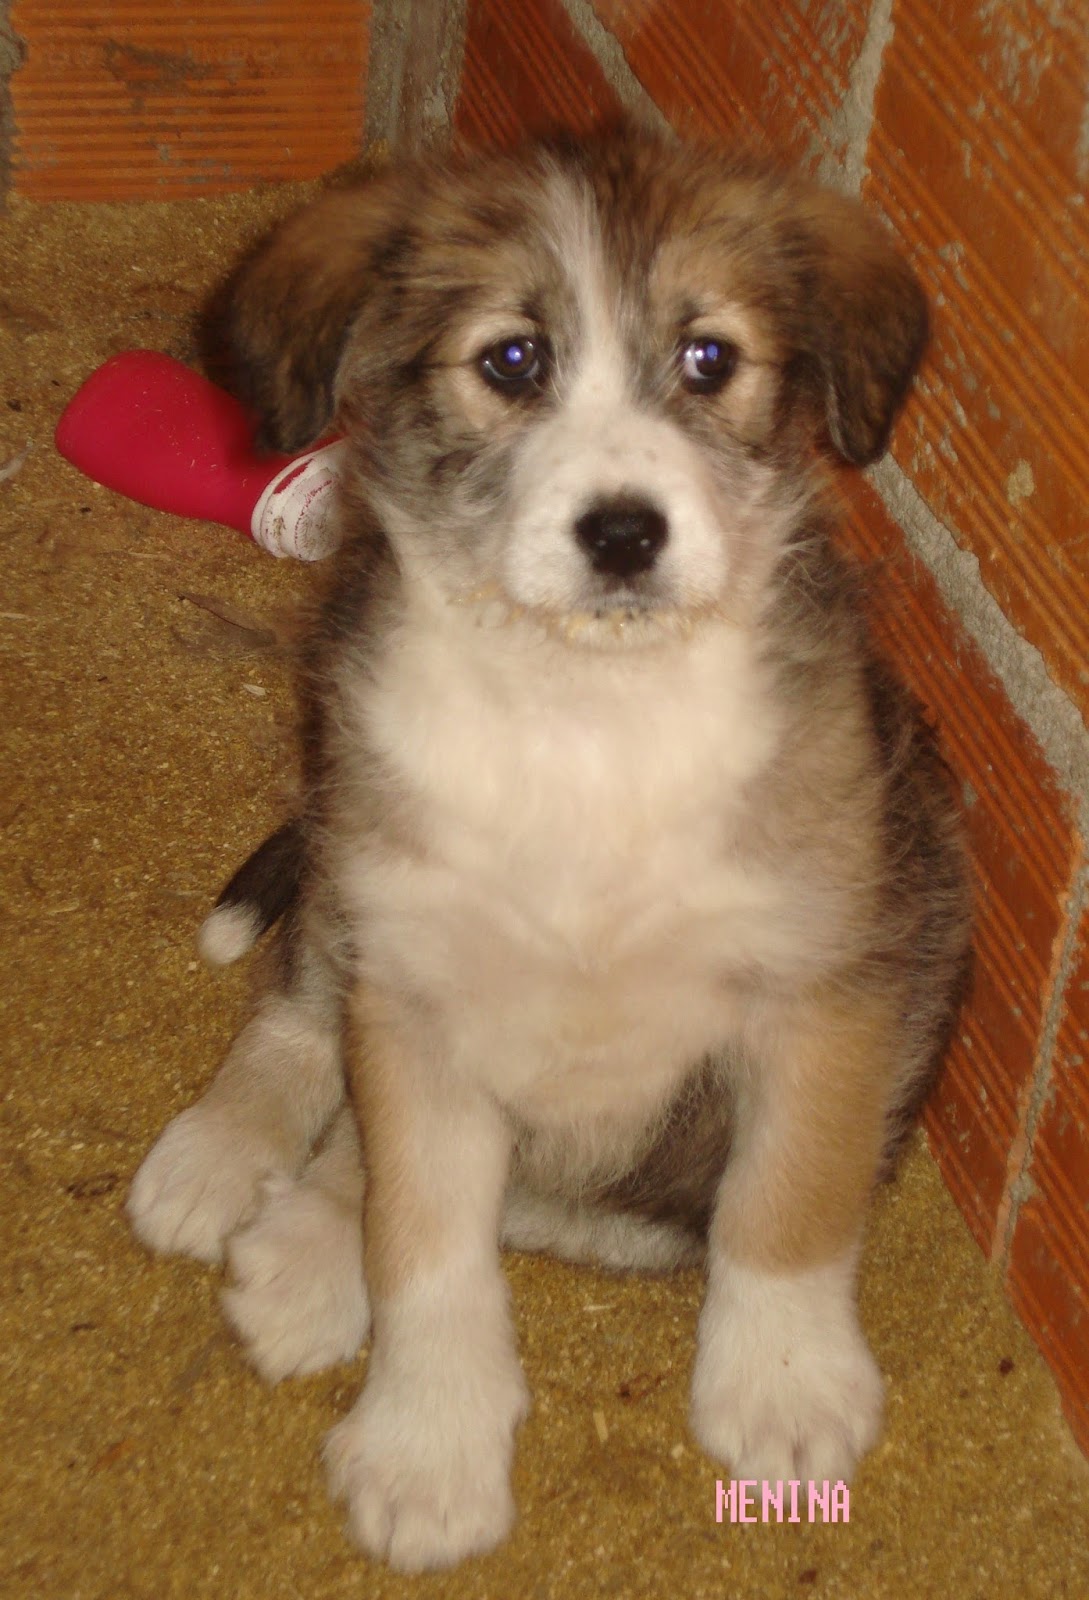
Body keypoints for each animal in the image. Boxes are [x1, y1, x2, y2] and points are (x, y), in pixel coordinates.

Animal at [127, 126, 972, 1571]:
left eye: (710, 357)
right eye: (512, 360)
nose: (624, 534)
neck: (587, 720)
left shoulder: (829, 978)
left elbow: (790, 1197)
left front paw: (785, 1383)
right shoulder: (416, 982)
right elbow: (424, 1243)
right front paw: (428, 1447)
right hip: (353, 867)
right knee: (297, 1011)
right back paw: (223, 1168)